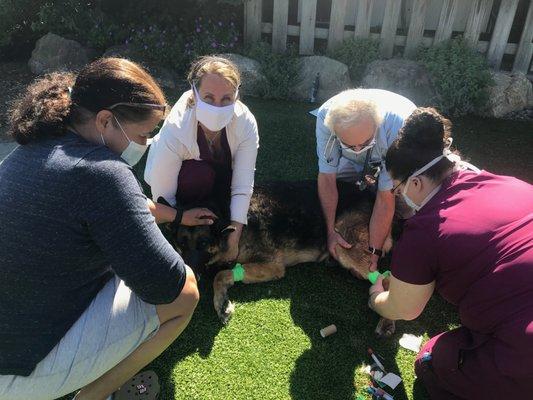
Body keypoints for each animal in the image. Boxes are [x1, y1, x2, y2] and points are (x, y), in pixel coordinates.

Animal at [167, 181, 394, 338]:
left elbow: (220, 275)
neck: (230, 219)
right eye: (181, 243)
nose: (190, 274)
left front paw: (221, 304)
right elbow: (223, 274)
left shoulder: (273, 267)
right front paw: (221, 300)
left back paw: (387, 321)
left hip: (343, 243)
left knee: (386, 280)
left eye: (203, 243)